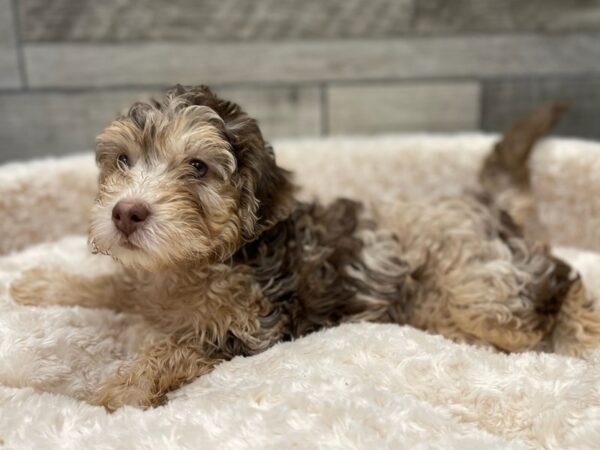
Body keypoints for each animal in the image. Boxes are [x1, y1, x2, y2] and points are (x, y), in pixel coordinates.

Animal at [9, 85, 600, 412]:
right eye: (123, 161)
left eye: (197, 167)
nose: (126, 213)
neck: (193, 266)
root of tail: (486, 204)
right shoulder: (146, 280)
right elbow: (115, 284)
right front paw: (42, 283)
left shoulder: (252, 330)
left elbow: (174, 347)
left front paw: (118, 390)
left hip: (480, 286)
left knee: (559, 281)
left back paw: (581, 338)